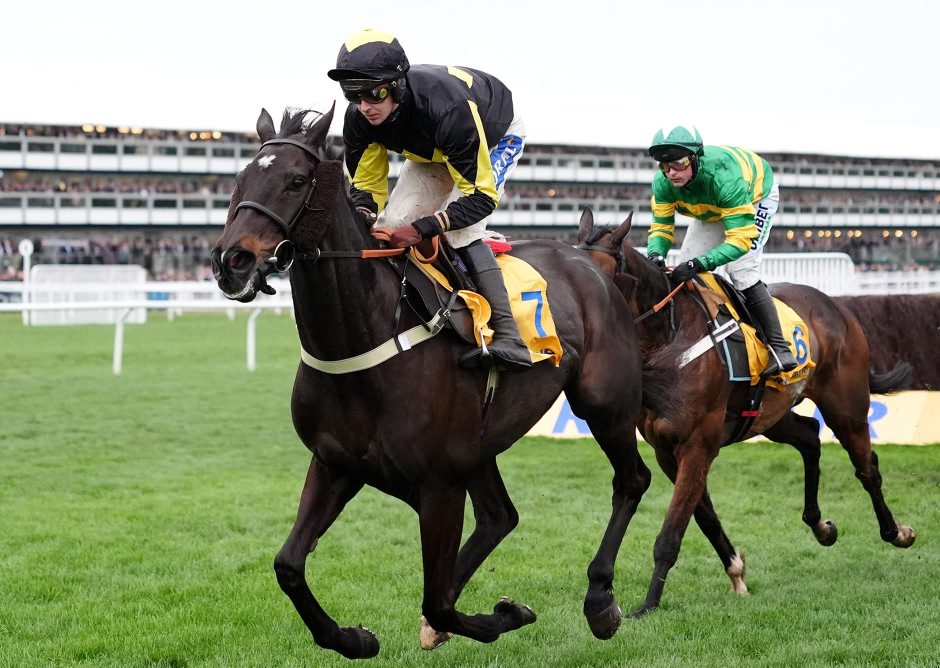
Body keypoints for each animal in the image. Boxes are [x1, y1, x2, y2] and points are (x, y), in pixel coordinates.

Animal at [210, 107, 660, 659]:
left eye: (296, 181)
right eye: (239, 180)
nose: (231, 261)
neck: (364, 341)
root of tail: (587, 261)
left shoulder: (440, 483)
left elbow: (438, 600)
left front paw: (508, 614)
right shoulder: (336, 464)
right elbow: (288, 566)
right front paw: (353, 638)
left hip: (605, 404)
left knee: (630, 480)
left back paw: (600, 602)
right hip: (480, 442)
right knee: (499, 516)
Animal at [576, 208, 916, 617]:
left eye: (596, 279)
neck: (670, 339)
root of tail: (838, 308)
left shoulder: (697, 445)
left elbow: (670, 534)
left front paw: (648, 605)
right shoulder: (666, 450)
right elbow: (704, 517)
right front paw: (736, 573)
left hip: (846, 407)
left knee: (867, 467)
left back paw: (897, 532)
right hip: (771, 414)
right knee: (809, 436)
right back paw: (821, 526)